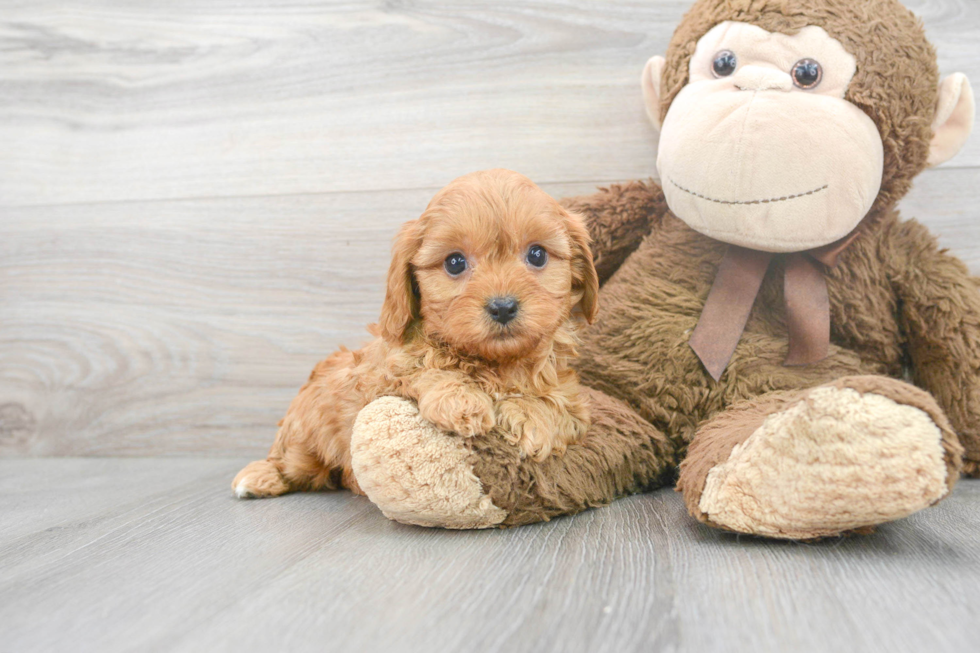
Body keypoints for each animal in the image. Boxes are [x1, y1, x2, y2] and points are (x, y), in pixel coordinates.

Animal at [233, 169, 596, 500]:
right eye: (454, 263)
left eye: (537, 254)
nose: (503, 307)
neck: (494, 361)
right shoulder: (381, 376)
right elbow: (422, 369)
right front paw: (460, 399)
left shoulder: (575, 402)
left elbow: (558, 405)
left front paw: (531, 417)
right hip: (303, 433)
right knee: (290, 461)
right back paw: (259, 477)